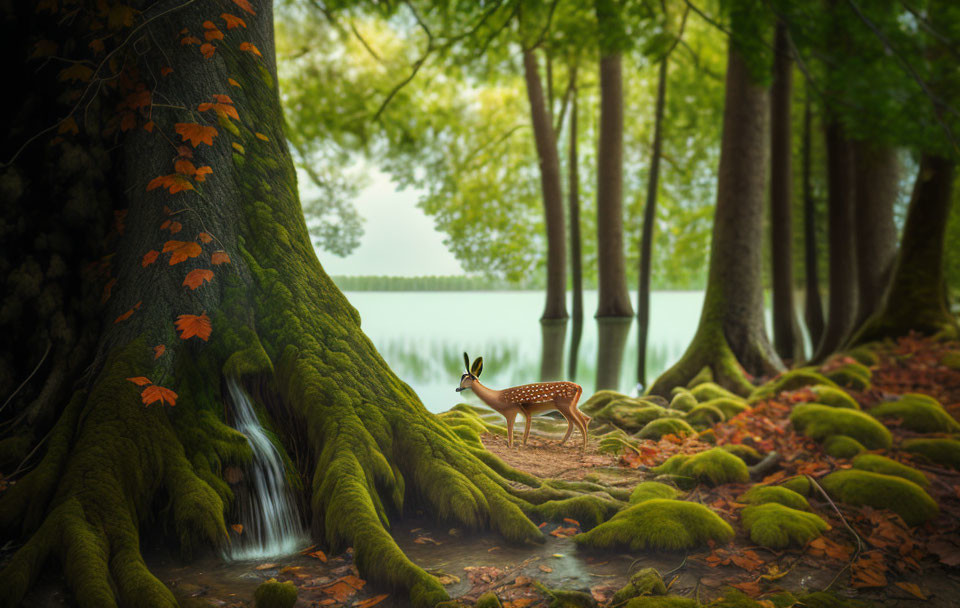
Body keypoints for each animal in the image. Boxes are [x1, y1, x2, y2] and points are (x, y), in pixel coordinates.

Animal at [454, 354, 588, 448]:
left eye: (465, 378)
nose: (457, 389)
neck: (499, 398)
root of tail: (579, 387)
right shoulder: (515, 413)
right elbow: (513, 429)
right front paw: (515, 444)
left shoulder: (514, 410)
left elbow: (514, 429)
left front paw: (516, 445)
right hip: (570, 406)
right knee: (582, 420)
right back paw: (563, 443)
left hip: (564, 405)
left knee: (579, 423)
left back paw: (583, 449)